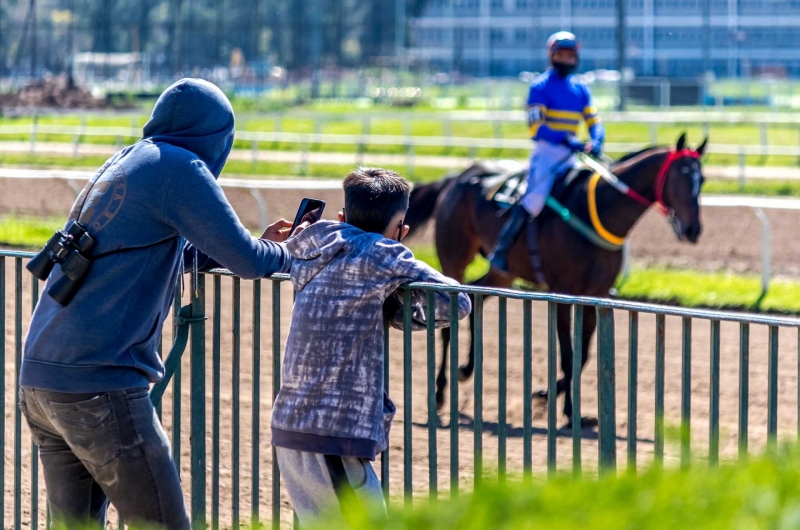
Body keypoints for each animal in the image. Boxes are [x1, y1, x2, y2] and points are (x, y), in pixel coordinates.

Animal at [406, 133, 708, 424]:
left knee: (475, 298)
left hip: (502, 273)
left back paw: (467, 368)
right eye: (681, 176)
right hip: (454, 259)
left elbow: (583, 355)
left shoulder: (596, 295)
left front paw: (551, 396)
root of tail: (455, 178)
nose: (693, 229)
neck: (597, 211)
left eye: (702, 179)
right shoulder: (563, 292)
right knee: (448, 322)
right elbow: (568, 355)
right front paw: (565, 407)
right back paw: (439, 393)